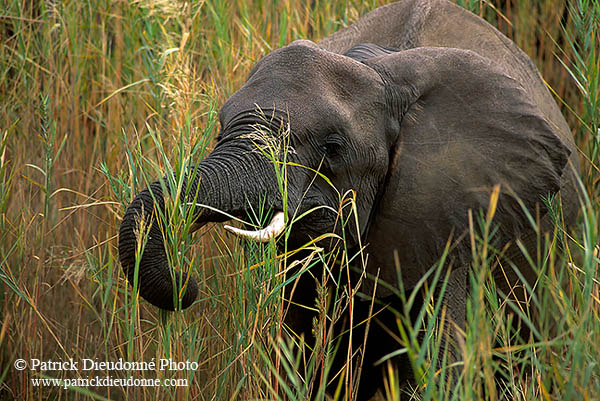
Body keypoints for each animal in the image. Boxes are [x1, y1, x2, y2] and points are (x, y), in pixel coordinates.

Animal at [117, 1, 580, 398]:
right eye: (219, 130)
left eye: (333, 148)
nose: (188, 284)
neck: (384, 70)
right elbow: (302, 346)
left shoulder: (451, 212)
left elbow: (440, 356)